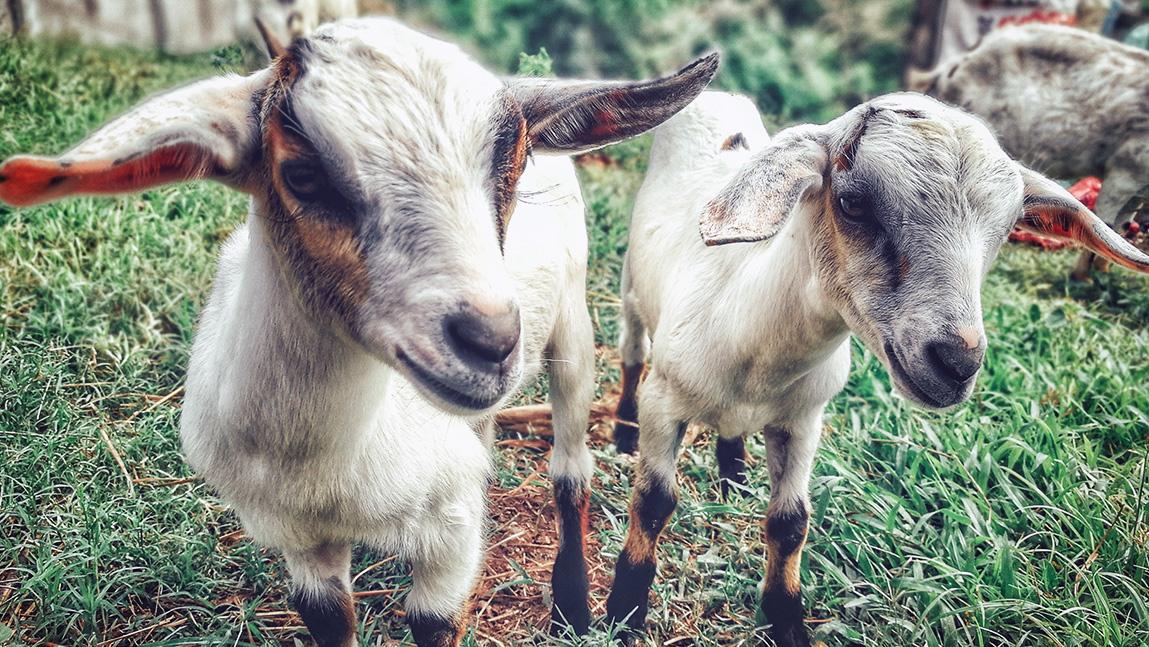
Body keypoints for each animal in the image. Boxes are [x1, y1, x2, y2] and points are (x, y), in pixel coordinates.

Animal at [0, 18, 718, 646]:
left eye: (509, 166)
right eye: (302, 174)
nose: (488, 342)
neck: (328, 465)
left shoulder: (449, 542)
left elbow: (433, 619)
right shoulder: (297, 537)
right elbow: (329, 618)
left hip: (570, 325)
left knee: (570, 470)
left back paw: (572, 605)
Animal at [603, 91, 1149, 647]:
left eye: (1004, 232)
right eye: (853, 203)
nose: (957, 362)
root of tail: (719, 95)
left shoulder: (804, 420)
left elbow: (790, 522)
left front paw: (787, 620)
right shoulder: (664, 402)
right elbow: (653, 502)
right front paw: (623, 611)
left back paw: (732, 474)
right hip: (630, 291)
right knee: (631, 352)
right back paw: (623, 432)